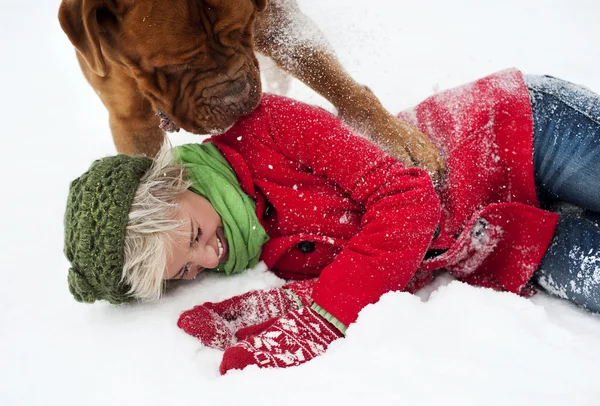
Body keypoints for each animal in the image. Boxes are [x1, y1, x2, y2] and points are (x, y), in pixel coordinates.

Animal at [59, 0, 446, 178]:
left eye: (242, 30)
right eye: (172, 66)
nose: (234, 96)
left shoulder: (275, 20)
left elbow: (335, 79)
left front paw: (396, 138)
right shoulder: (128, 117)